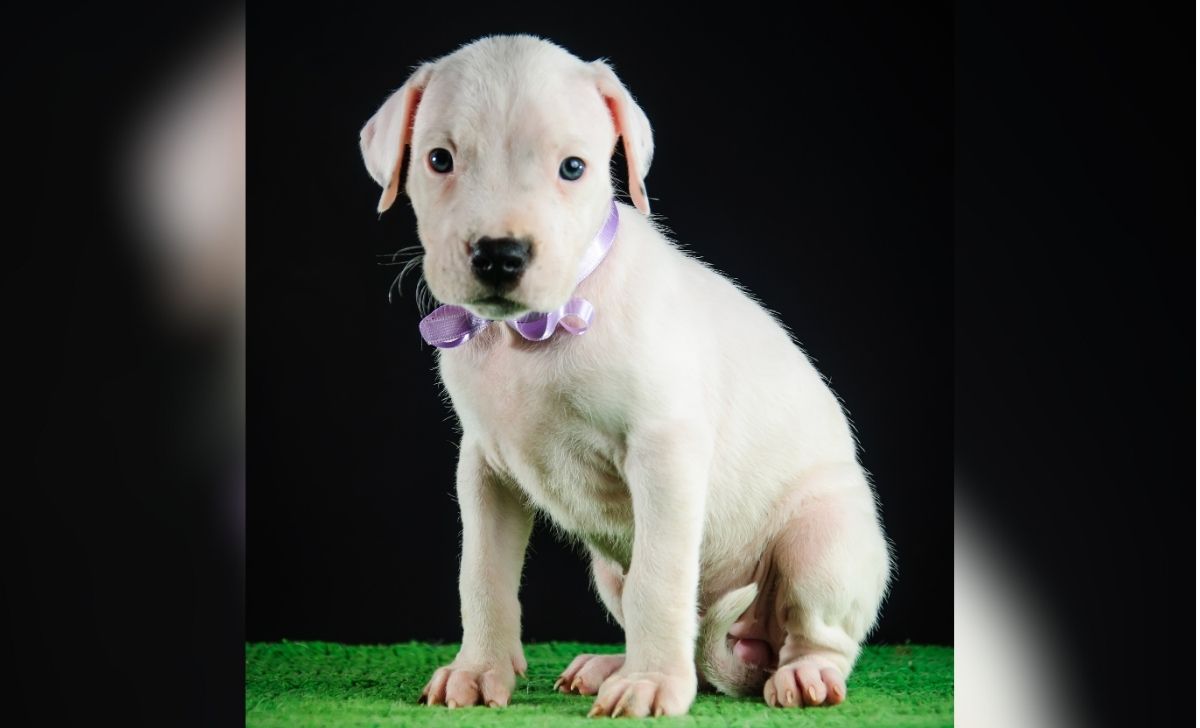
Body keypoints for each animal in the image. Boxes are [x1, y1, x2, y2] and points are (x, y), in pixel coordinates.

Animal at [355, 34, 892, 719]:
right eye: (439, 159)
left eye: (573, 168)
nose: (500, 255)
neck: (536, 332)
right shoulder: (484, 469)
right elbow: (482, 575)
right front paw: (478, 671)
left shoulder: (664, 452)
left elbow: (660, 581)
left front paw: (651, 685)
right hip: (608, 571)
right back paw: (614, 664)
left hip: (822, 542)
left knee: (816, 634)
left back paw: (800, 676)